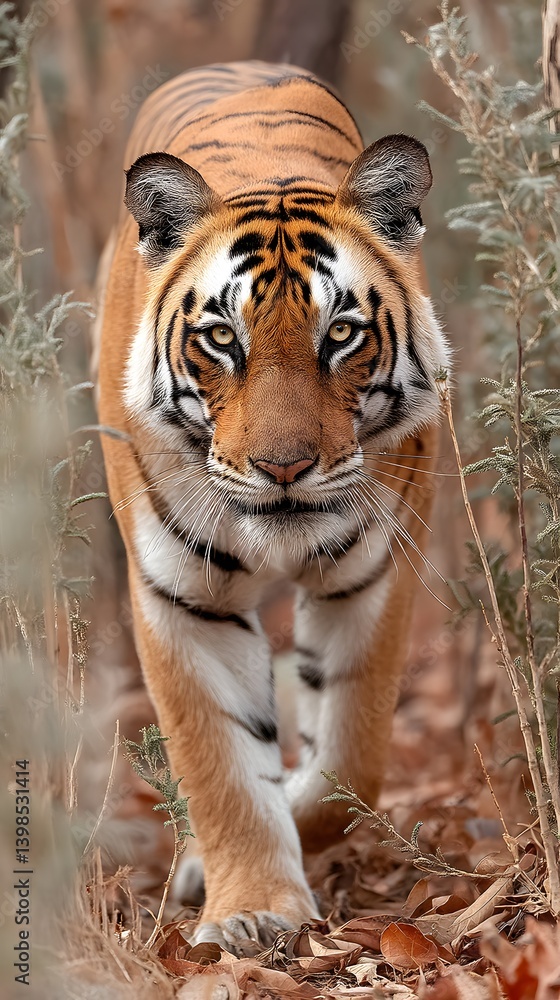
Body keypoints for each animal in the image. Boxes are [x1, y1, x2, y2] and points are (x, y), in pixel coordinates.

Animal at [96, 60, 450, 953]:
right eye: (222, 339)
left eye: (342, 335)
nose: (283, 467)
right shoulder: (183, 599)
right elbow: (218, 762)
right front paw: (252, 910)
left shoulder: (373, 578)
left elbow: (349, 759)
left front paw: (297, 810)